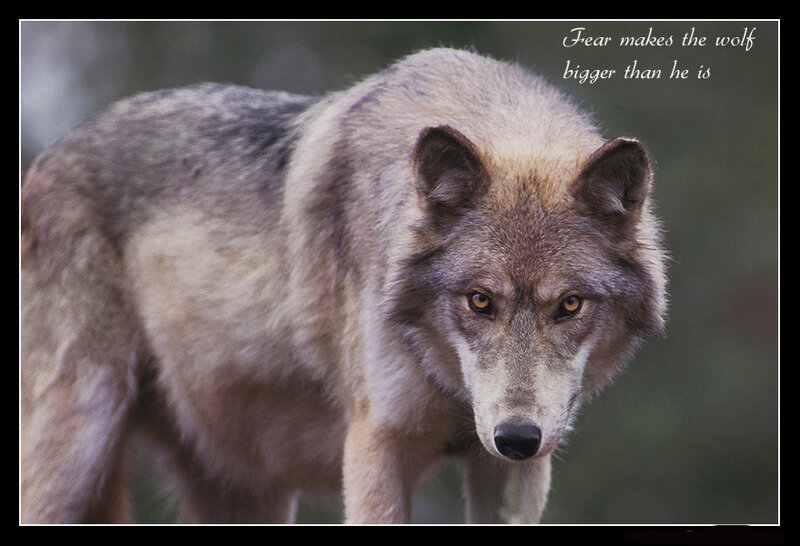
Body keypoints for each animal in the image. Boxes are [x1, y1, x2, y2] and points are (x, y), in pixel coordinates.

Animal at [20, 47, 667, 524]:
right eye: (479, 301)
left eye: (570, 304)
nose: (516, 435)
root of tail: (43, 163)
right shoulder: (376, 446)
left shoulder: (513, 470)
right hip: (78, 449)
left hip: (246, 491)